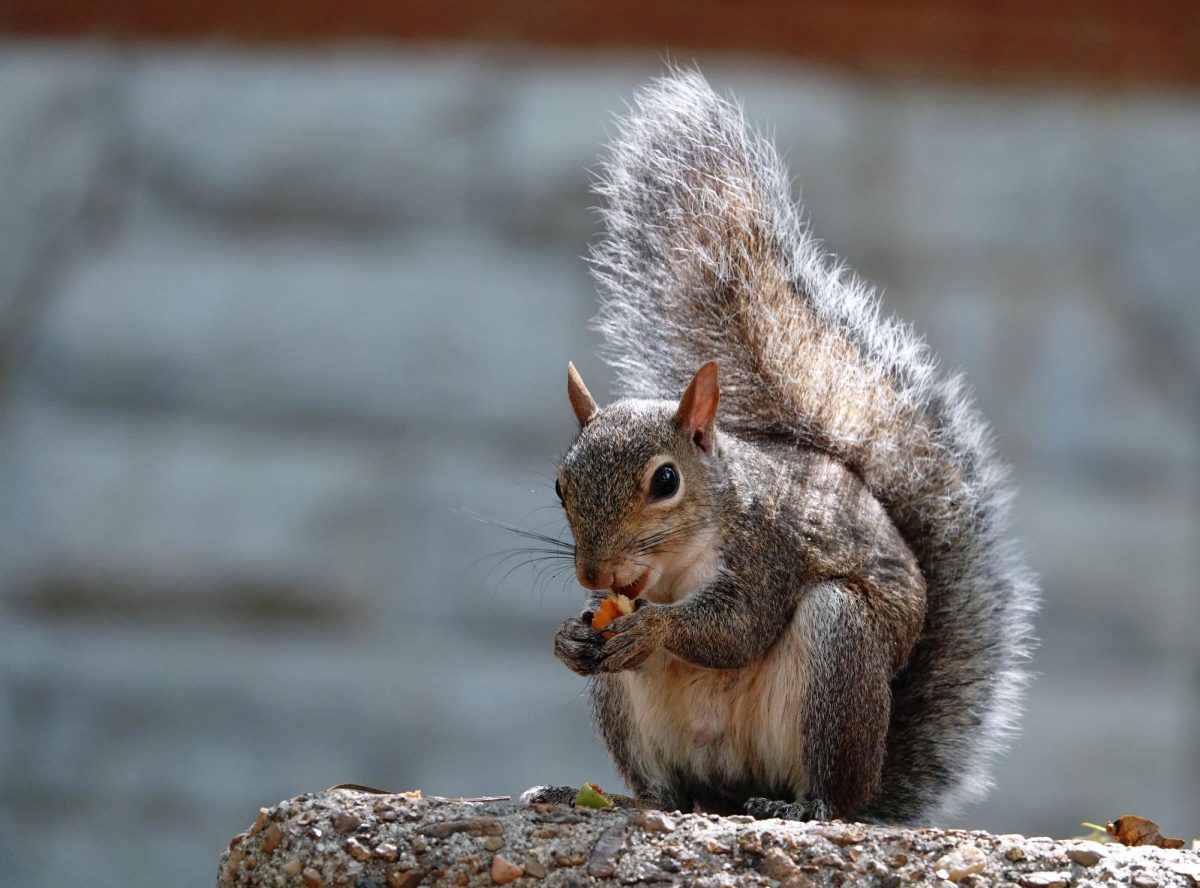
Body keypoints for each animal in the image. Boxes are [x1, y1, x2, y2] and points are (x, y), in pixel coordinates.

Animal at [520, 71, 1036, 825]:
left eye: (665, 481)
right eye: (561, 485)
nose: (593, 574)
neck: (673, 569)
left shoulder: (768, 551)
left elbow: (739, 627)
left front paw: (656, 632)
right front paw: (570, 634)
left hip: (839, 646)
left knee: (826, 786)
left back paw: (800, 806)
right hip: (631, 715)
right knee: (664, 790)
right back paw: (610, 796)